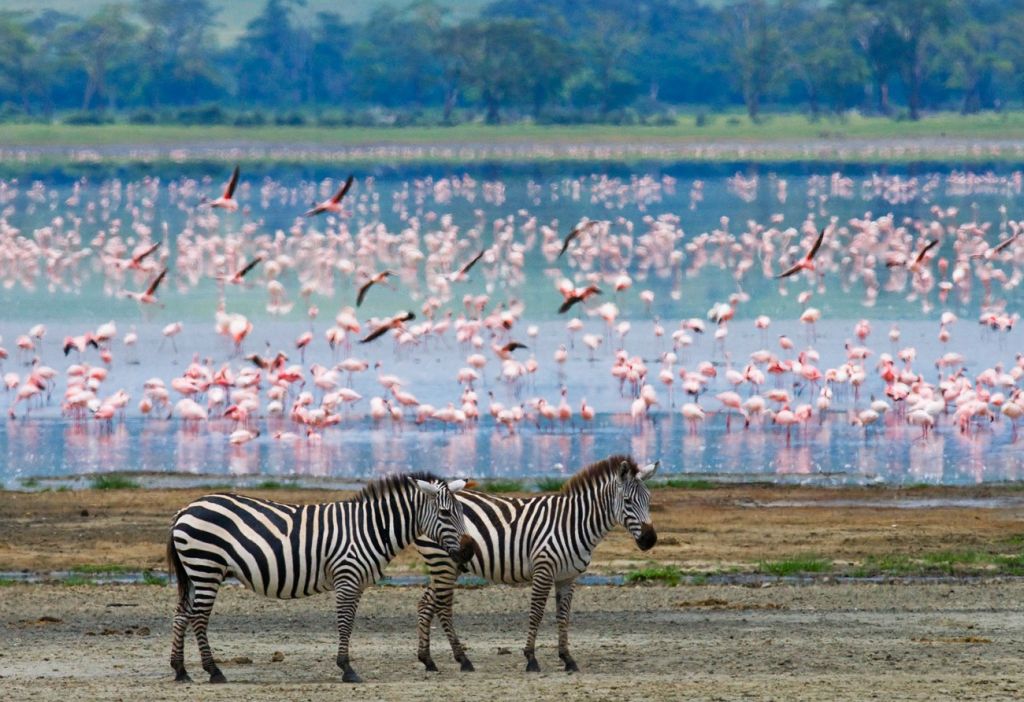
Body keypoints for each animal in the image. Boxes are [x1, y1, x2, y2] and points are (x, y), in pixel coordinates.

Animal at [165, 474, 473, 683]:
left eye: (462, 512)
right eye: (446, 512)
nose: (469, 550)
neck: (370, 528)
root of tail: (186, 509)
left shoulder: (357, 583)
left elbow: (349, 623)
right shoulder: (347, 577)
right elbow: (345, 623)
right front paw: (347, 668)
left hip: (195, 571)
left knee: (181, 615)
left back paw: (181, 670)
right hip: (206, 566)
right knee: (198, 618)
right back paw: (214, 671)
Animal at [413, 456, 659, 675]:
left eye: (648, 499)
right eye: (627, 501)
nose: (650, 540)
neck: (574, 522)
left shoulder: (567, 577)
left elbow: (563, 616)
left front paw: (567, 658)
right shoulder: (544, 570)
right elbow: (537, 613)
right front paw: (531, 658)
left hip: (450, 565)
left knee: (426, 603)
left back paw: (427, 660)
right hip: (442, 561)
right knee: (443, 607)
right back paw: (463, 660)